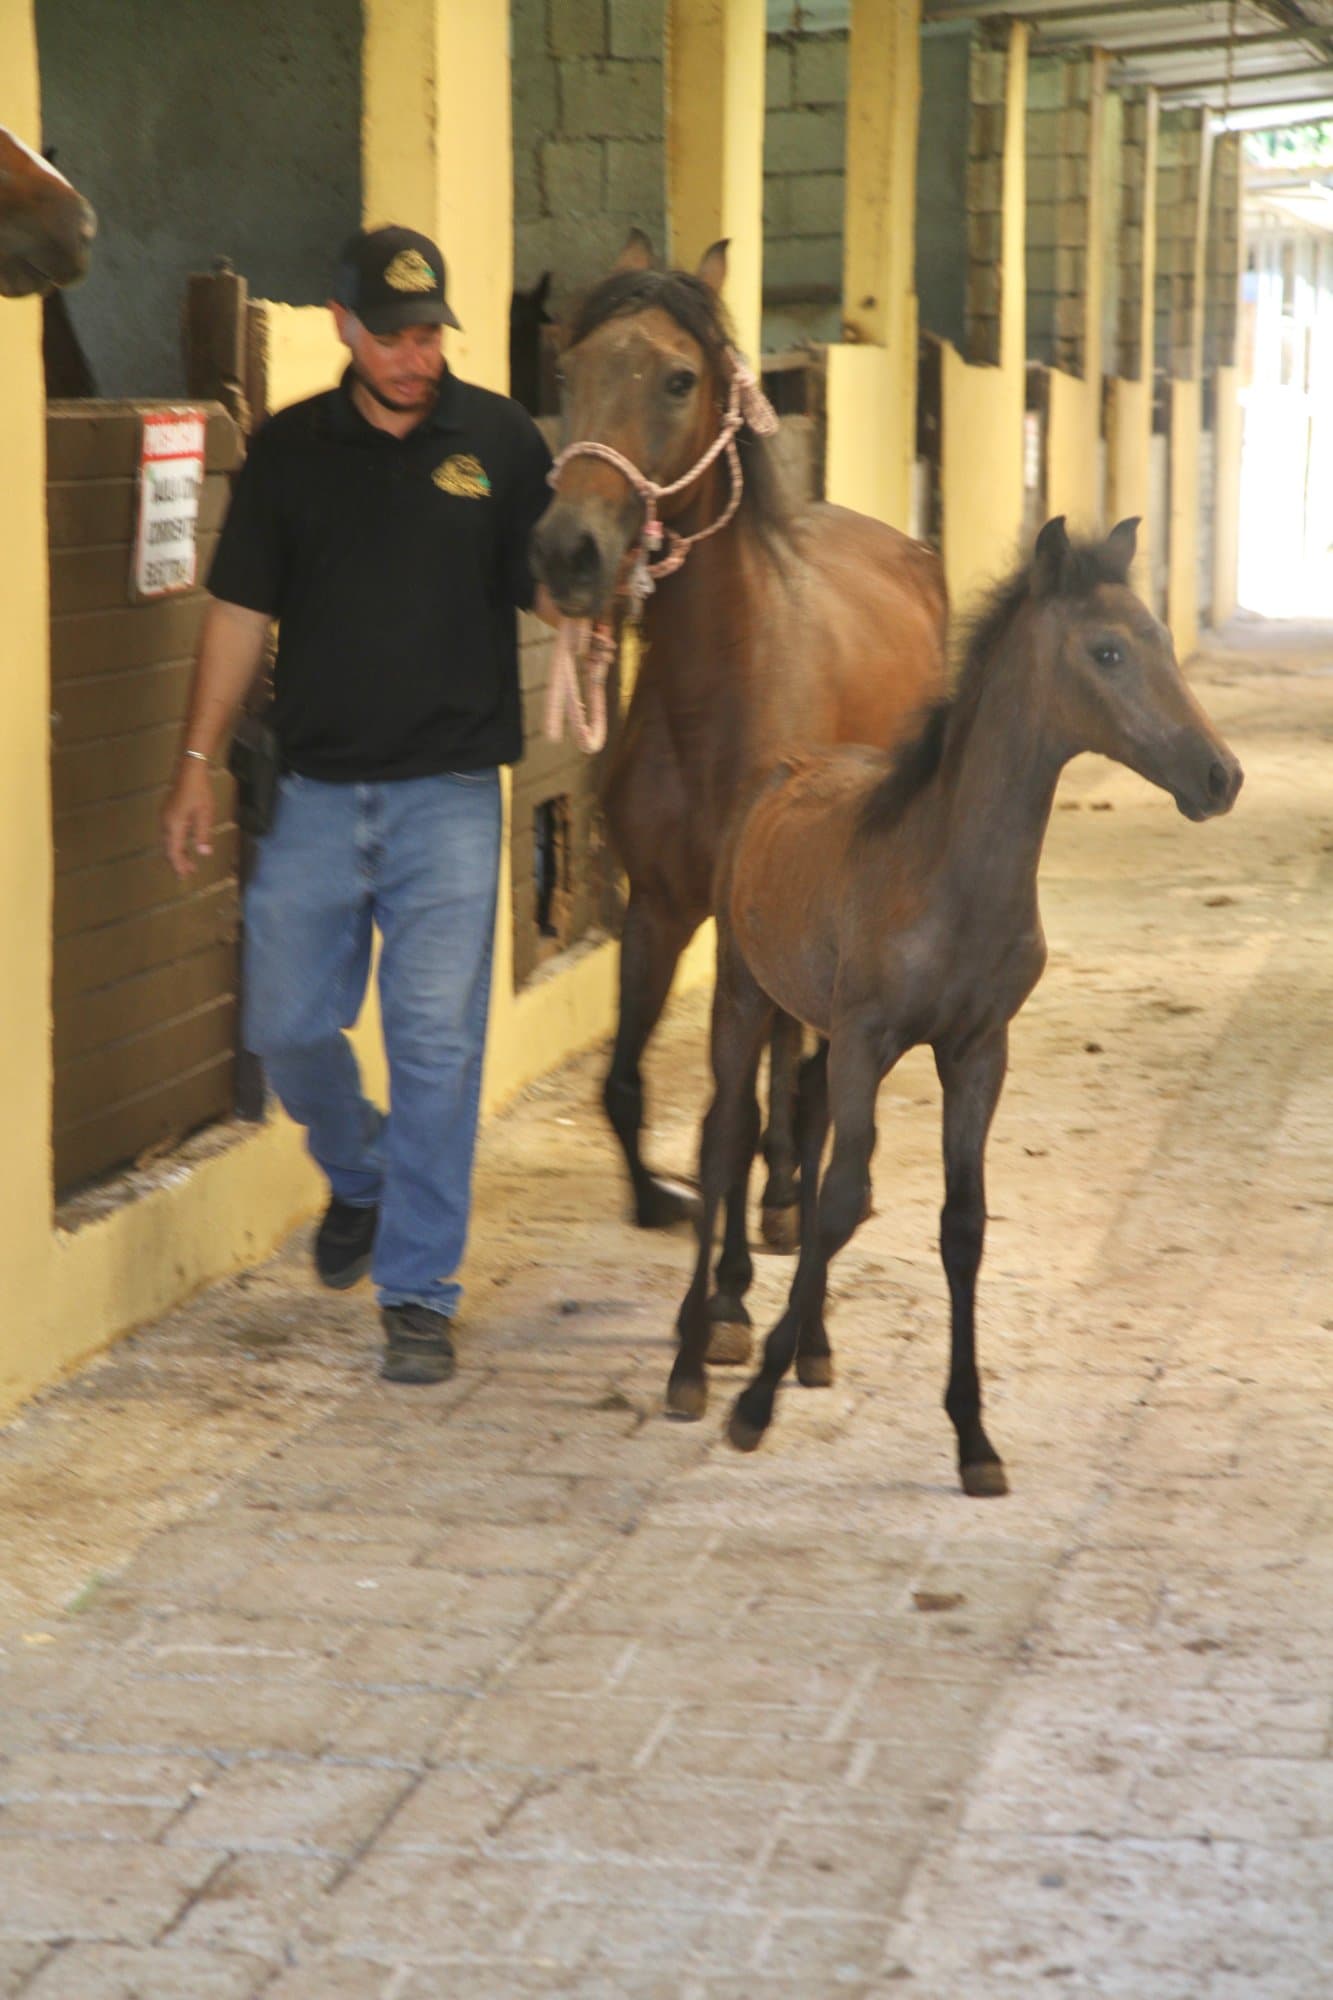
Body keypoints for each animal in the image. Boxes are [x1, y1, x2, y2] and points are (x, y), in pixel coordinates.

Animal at [530, 237, 948, 1351]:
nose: (568, 552)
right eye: (566, 370)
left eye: (679, 379)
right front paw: (664, 1206)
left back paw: (791, 1195)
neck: (714, 689)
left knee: (805, 1067)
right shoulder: (661, 908)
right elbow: (627, 1085)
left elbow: (741, 1099)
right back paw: (778, 1191)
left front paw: (723, 1292)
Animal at [664, 516, 1243, 1494]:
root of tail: (778, 769)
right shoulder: (869, 1040)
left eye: (1164, 640)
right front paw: (752, 1404)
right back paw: (690, 1359)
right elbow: (841, 1198)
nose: (1218, 776)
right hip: (744, 999)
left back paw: (812, 1345)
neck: (949, 874)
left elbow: (958, 1224)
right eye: (1107, 650)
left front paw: (973, 1438)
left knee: (805, 1126)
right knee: (724, 1139)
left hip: (818, 1029)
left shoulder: (976, 1050)